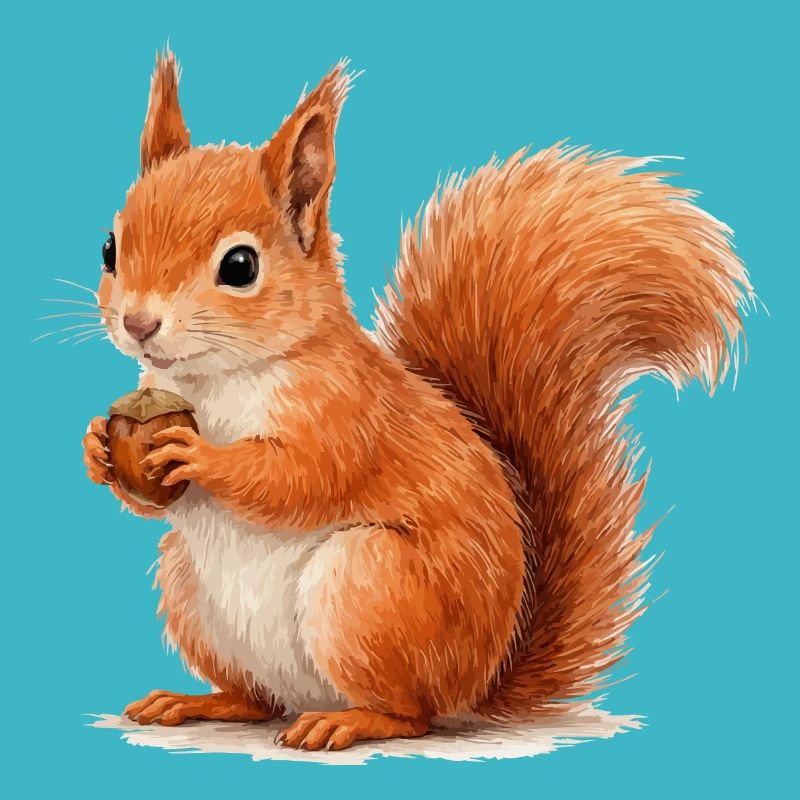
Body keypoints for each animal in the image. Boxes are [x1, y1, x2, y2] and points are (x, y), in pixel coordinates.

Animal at [82, 51, 752, 751]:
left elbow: (300, 478)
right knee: (257, 699)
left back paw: (348, 721)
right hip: (189, 589)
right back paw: (199, 701)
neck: (215, 379)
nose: (138, 324)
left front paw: (200, 455)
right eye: (110, 247)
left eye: (240, 266)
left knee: (412, 714)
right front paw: (97, 448)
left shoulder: (347, 411)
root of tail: (477, 685)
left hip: (369, 587)